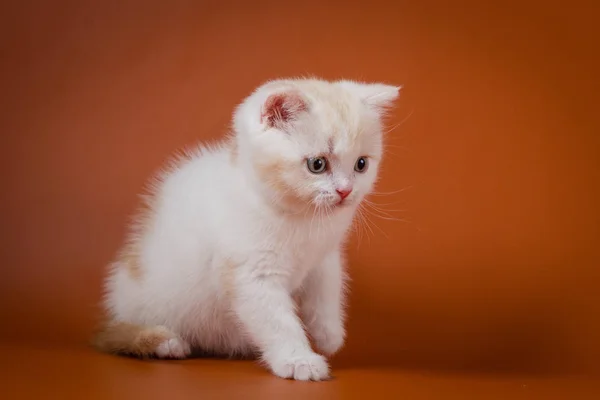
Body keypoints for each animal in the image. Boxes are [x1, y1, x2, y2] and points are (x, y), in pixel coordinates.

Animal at [92, 76, 398, 380]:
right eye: (317, 164)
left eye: (361, 164)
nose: (346, 191)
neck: (302, 220)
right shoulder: (250, 273)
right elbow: (276, 320)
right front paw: (299, 360)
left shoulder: (325, 257)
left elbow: (327, 290)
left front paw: (329, 334)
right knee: (113, 335)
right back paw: (163, 341)